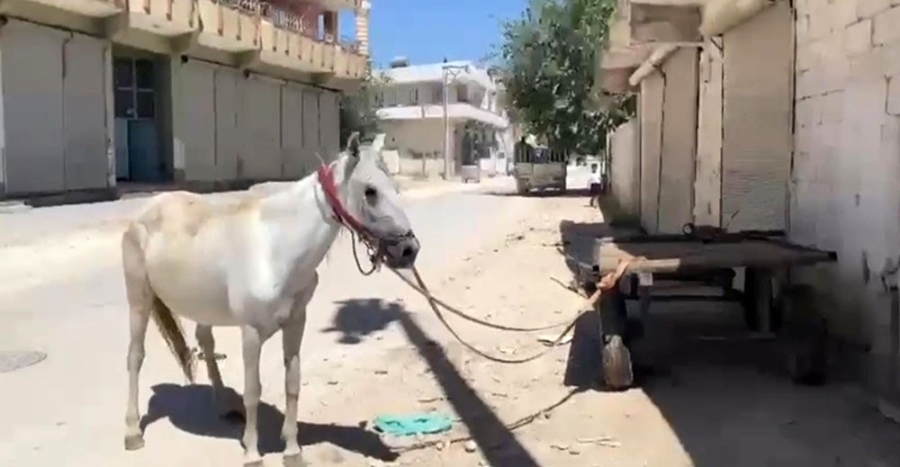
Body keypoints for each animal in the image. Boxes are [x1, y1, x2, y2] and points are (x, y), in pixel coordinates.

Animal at [121, 133, 420, 467]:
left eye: (395, 188)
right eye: (370, 192)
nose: (409, 250)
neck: (275, 248)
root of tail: (146, 209)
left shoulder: (295, 323)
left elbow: (292, 383)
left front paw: (292, 449)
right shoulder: (251, 333)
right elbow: (253, 390)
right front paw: (252, 452)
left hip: (202, 308)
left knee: (206, 344)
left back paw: (224, 405)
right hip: (139, 298)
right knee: (135, 357)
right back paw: (133, 432)